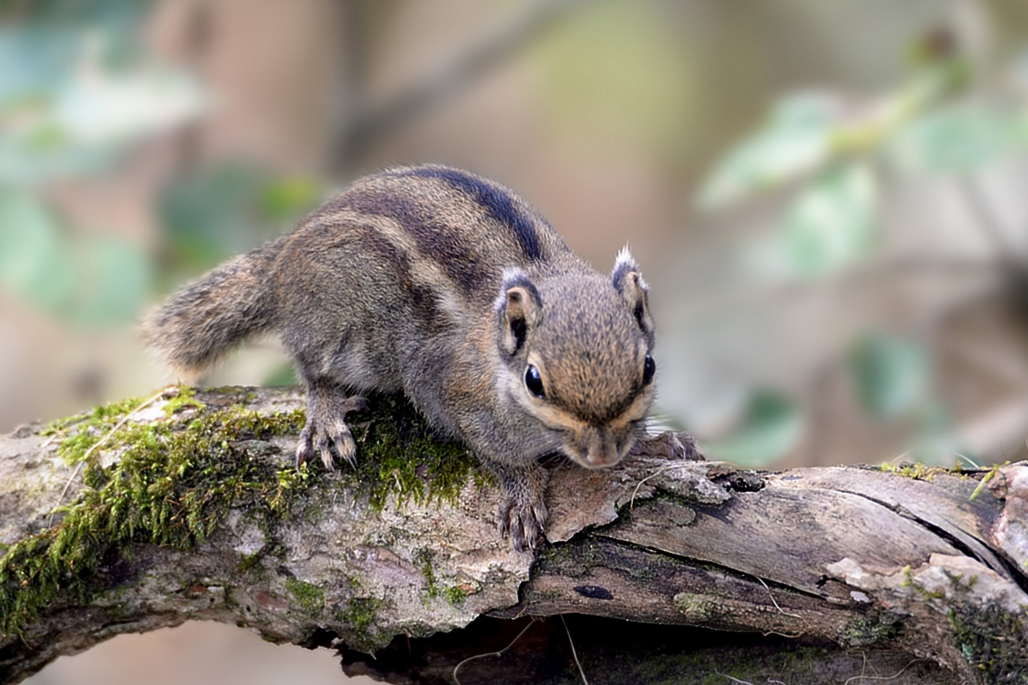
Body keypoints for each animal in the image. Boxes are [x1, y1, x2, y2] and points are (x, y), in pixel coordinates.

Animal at [142, 164, 657, 551]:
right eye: (534, 381)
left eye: (648, 368)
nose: (603, 455)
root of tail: (279, 262)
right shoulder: (454, 396)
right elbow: (494, 453)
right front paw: (525, 492)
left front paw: (656, 444)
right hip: (337, 330)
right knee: (312, 369)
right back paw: (325, 416)